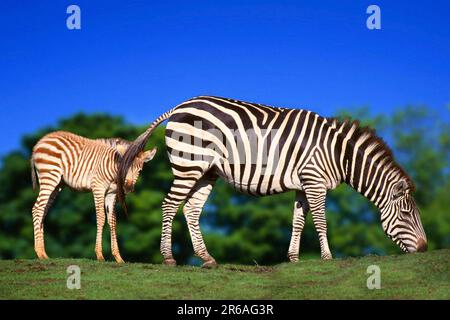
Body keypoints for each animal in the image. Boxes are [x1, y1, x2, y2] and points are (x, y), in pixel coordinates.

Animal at [30, 131, 156, 262]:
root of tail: (40, 142)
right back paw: (40, 253)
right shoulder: (98, 188)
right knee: (37, 209)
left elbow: (112, 221)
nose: (128, 188)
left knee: (43, 211)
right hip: (50, 177)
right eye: (124, 168)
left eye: (140, 171)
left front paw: (118, 258)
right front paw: (100, 255)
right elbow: (101, 218)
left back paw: (44, 254)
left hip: (58, 184)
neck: (113, 168)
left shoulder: (111, 194)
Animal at [118, 95, 428, 268]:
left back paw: (207, 258)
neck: (338, 154)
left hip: (206, 172)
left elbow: (298, 222)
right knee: (169, 205)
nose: (425, 249)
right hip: (188, 165)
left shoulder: (304, 184)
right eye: (406, 214)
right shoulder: (314, 180)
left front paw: (294, 258)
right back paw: (168, 258)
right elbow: (321, 221)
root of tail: (179, 106)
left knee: (191, 210)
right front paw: (328, 257)